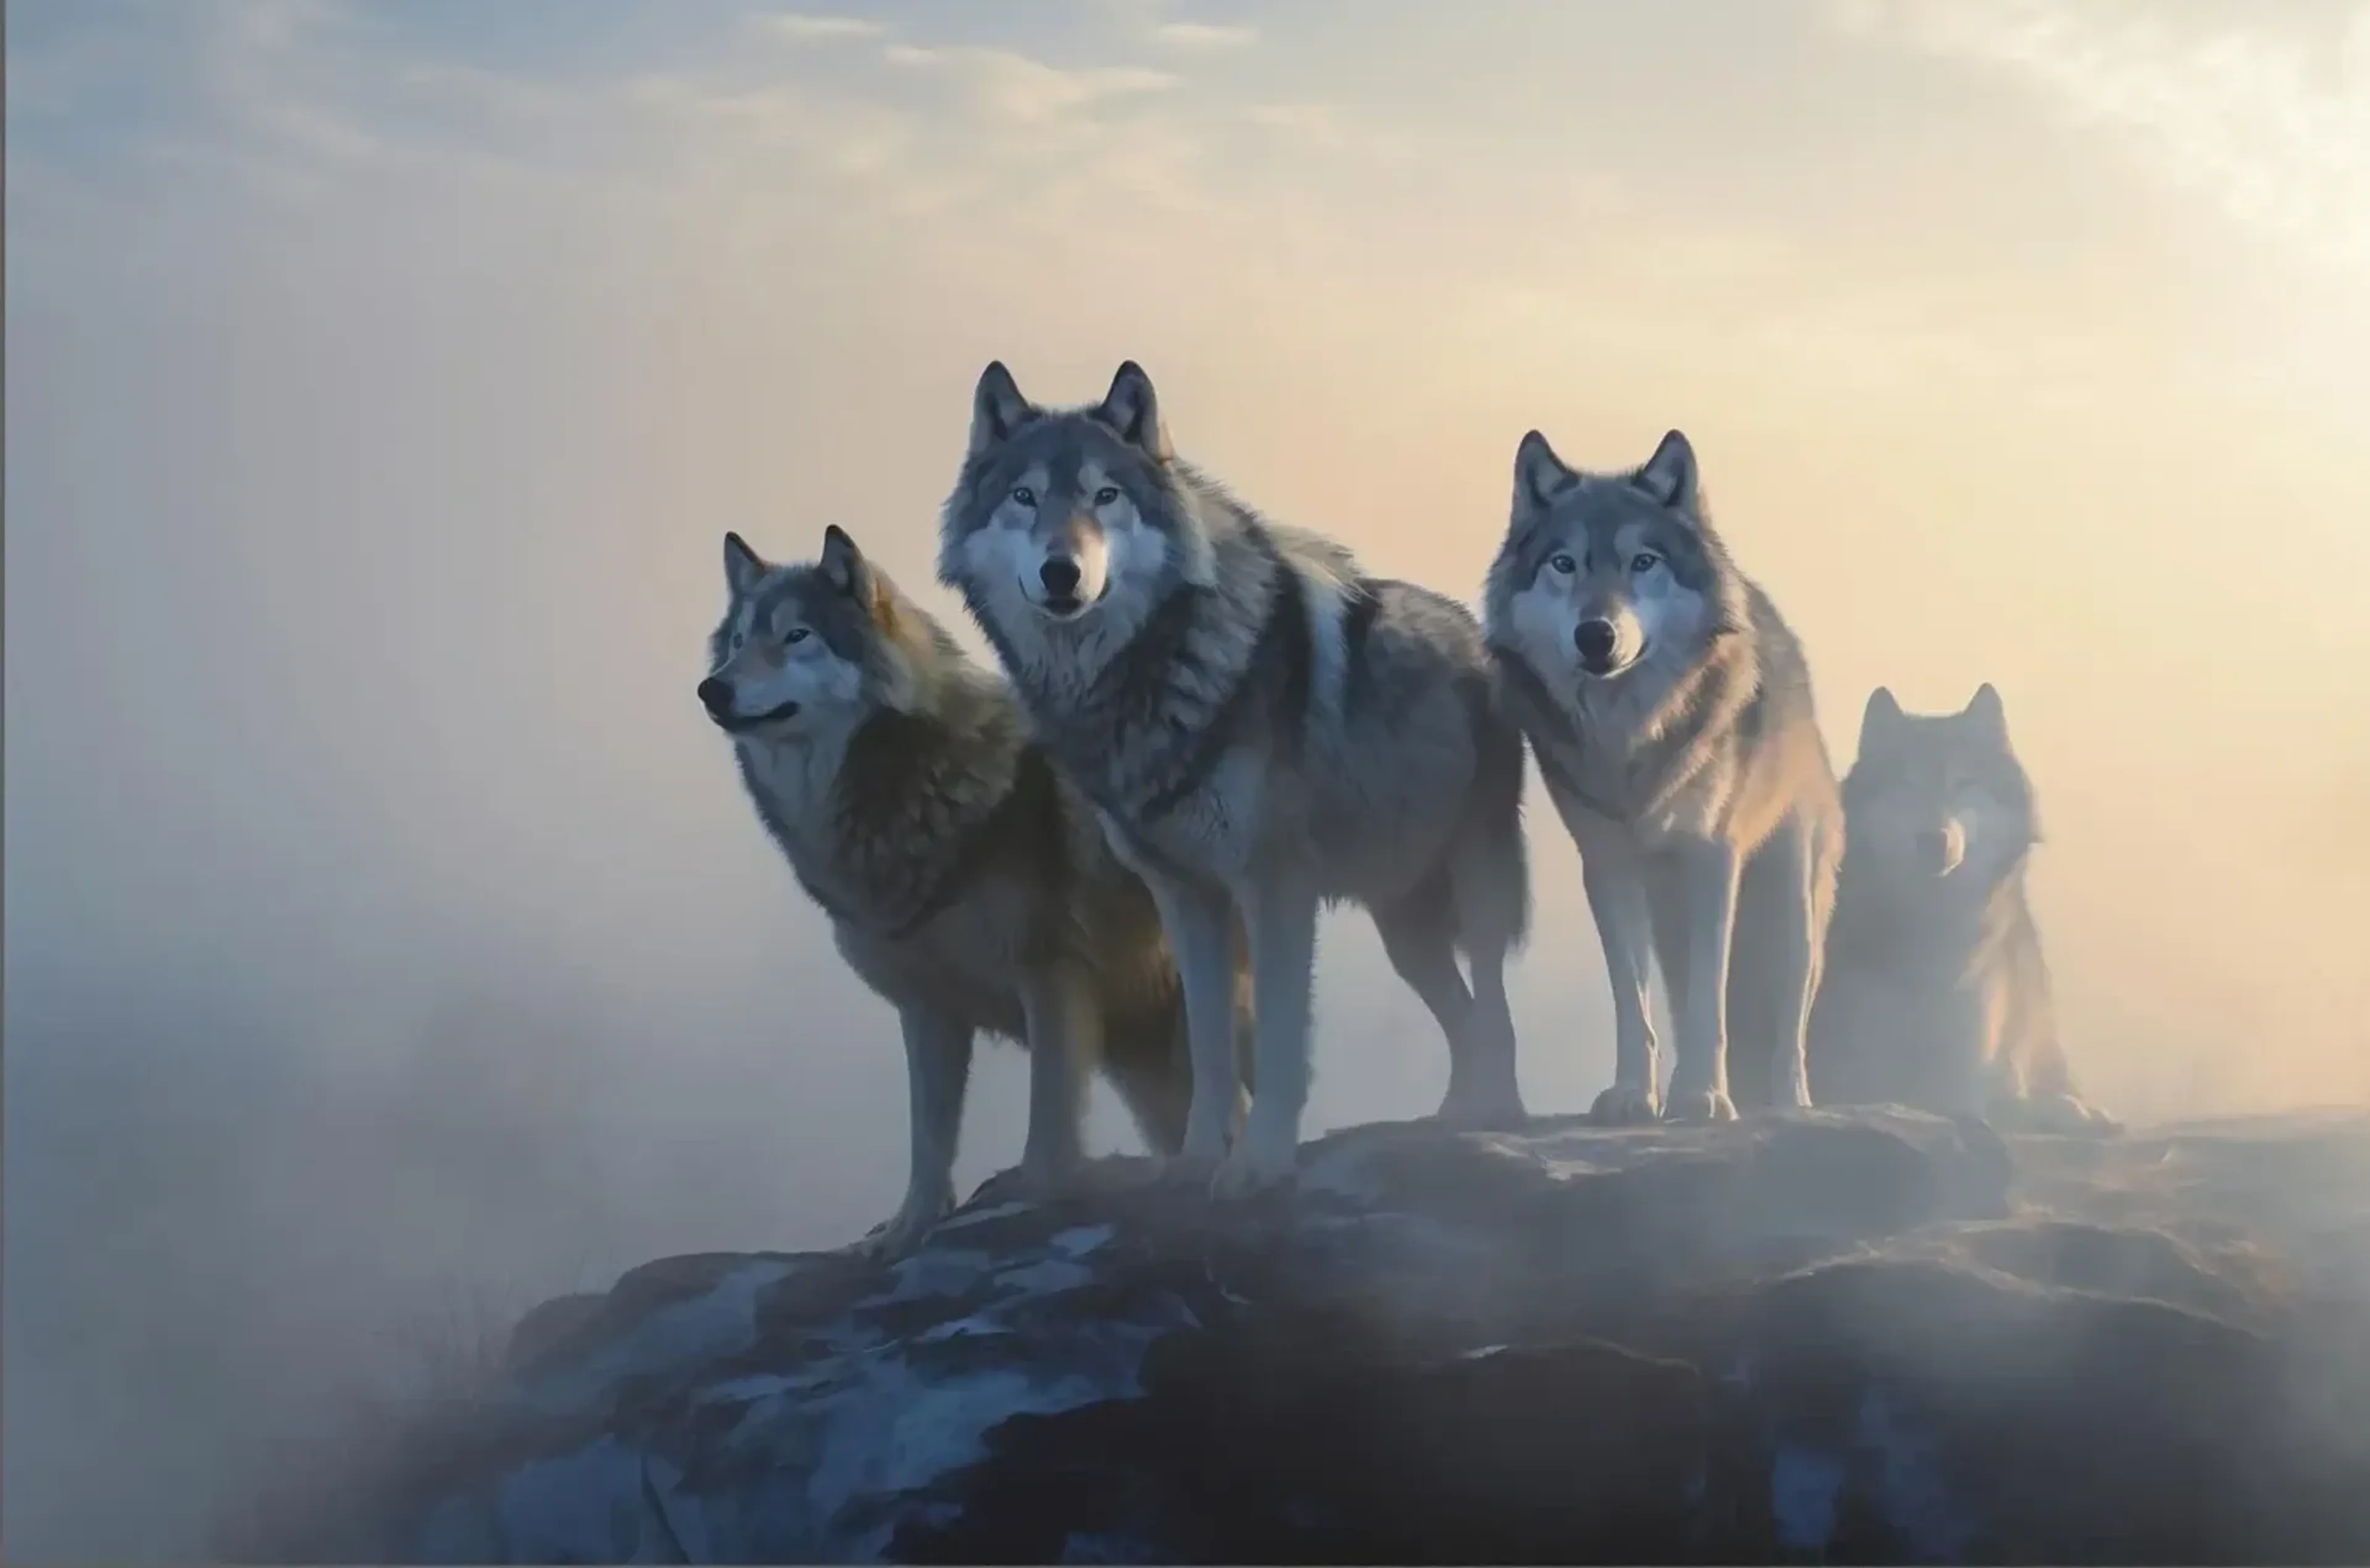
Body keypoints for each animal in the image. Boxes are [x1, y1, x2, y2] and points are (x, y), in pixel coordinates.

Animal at [699, 523, 1252, 1257]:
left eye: (796, 636)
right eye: (738, 642)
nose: (712, 690)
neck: (905, 788)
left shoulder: (1052, 978)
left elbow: (1049, 1117)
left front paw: (1036, 1191)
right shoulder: (927, 1010)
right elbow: (927, 1140)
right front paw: (905, 1229)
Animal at [937, 360, 1532, 1198]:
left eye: (1105, 496)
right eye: (1024, 497)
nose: (1062, 572)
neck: (1146, 677)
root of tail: (1476, 631)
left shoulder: (1273, 887)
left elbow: (1279, 1044)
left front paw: (1262, 1164)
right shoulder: (1186, 898)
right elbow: (1212, 1050)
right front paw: (1195, 1163)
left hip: (1476, 885)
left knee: (1495, 1004)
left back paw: (1498, 1114)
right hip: (1403, 932)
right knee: (1464, 1012)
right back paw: (1452, 1115)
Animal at [1485, 427, 1844, 1123]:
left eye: (1643, 562)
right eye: (1564, 564)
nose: (1595, 635)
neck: (1631, 738)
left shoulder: (1713, 858)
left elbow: (1711, 1002)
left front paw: (1703, 1095)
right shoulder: (1607, 866)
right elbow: (1633, 1002)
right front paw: (1633, 1094)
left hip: (1791, 906)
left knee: (1791, 1018)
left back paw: (1790, 1101)